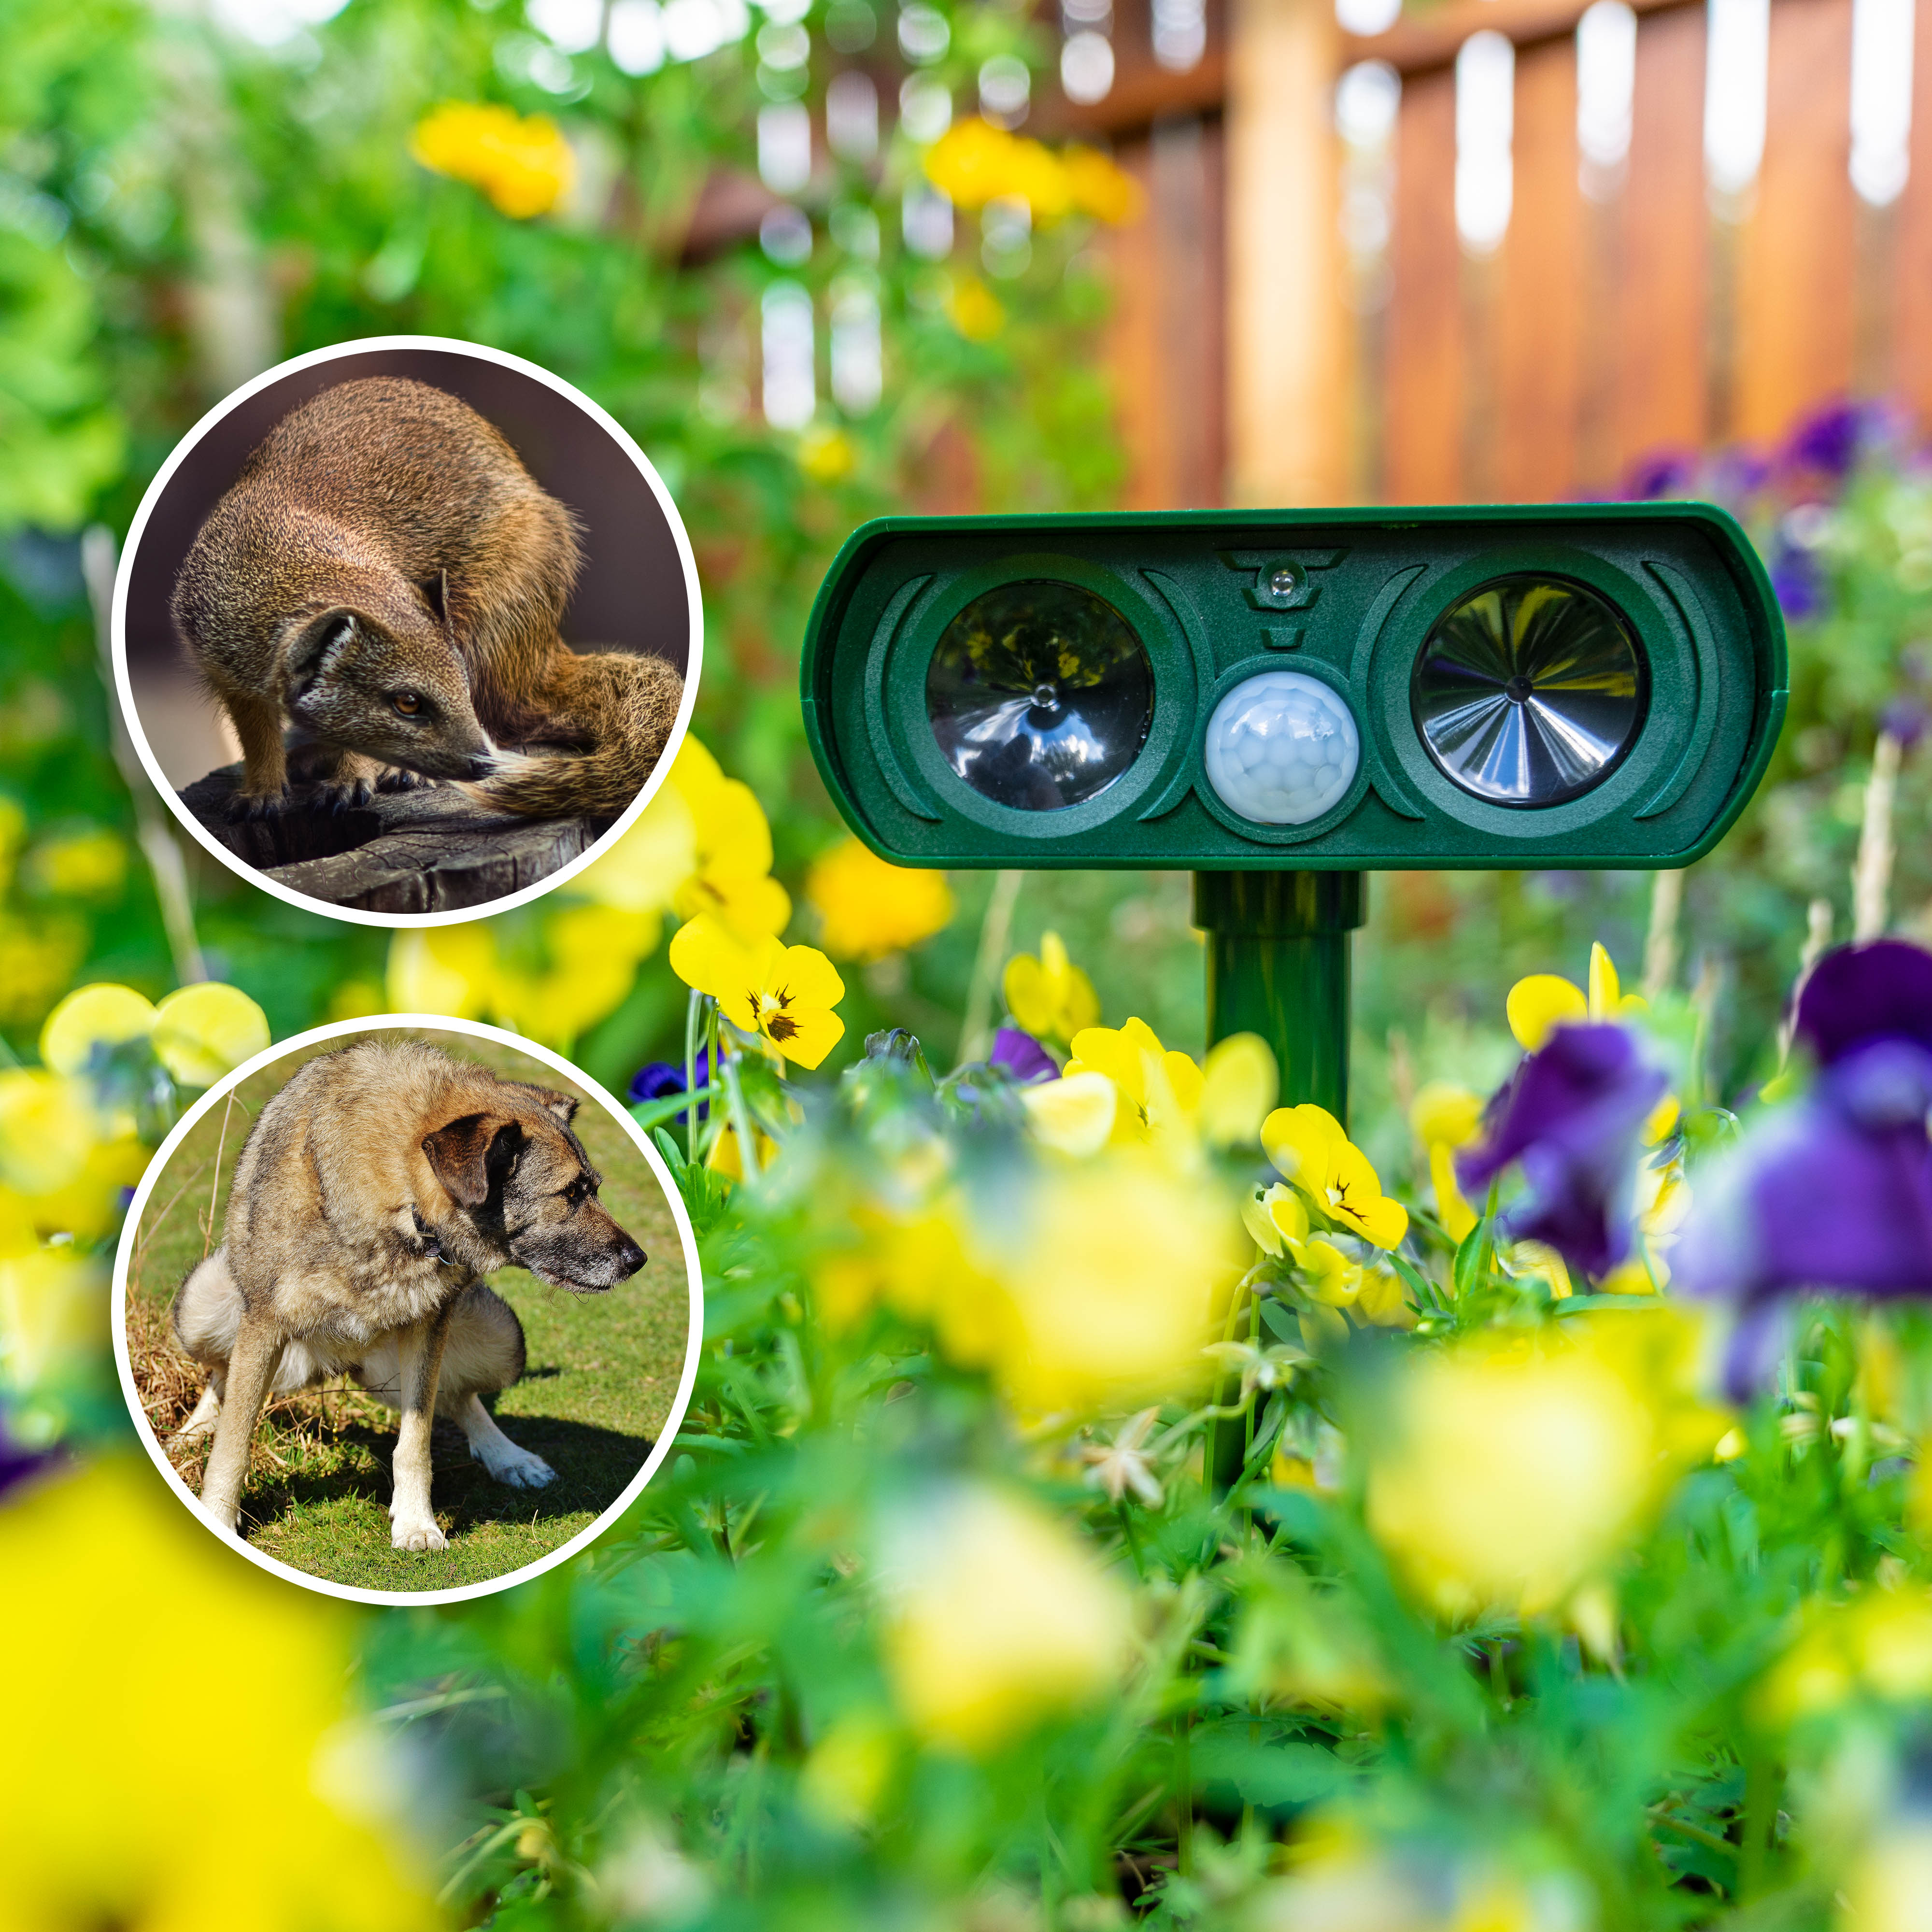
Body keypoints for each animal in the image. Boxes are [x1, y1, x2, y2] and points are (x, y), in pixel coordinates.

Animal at [168, 1043, 649, 1553]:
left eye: (593, 1189)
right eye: (571, 1194)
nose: (638, 1260)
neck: (400, 1203)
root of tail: (328, 1367)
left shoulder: (429, 1324)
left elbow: (415, 1440)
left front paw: (417, 1523)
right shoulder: (263, 1324)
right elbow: (234, 1443)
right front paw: (218, 1518)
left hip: (495, 1338)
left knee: (458, 1397)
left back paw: (509, 1456)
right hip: (203, 1301)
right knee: (222, 1376)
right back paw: (189, 1434)